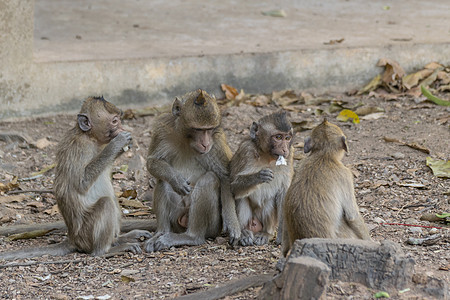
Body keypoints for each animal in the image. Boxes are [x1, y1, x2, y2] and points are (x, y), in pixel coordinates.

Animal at [0, 96, 151, 260]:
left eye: (119, 120)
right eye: (115, 121)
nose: (122, 128)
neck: (90, 137)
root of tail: (73, 238)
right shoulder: (80, 148)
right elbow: (81, 183)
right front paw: (117, 144)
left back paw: (118, 240)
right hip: (86, 234)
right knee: (106, 203)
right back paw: (106, 250)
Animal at [146, 88, 241, 251]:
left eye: (209, 129)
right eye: (198, 129)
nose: (205, 144)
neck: (187, 141)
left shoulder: (216, 142)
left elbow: (225, 177)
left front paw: (232, 224)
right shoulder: (162, 129)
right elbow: (152, 162)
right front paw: (176, 179)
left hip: (212, 226)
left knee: (209, 179)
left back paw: (192, 237)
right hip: (177, 218)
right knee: (163, 181)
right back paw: (161, 232)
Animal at [230, 110, 294, 246]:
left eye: (287, 138)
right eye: (278, 137)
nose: (284, 149)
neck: (267, 156)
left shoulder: (290, 156)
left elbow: (284, 194)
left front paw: (283, 236)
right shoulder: (246, 150)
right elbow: (233, 188)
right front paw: (258, 176)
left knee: (269, 203)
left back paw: (265, 234)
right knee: (242, 198)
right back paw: (244, 233)